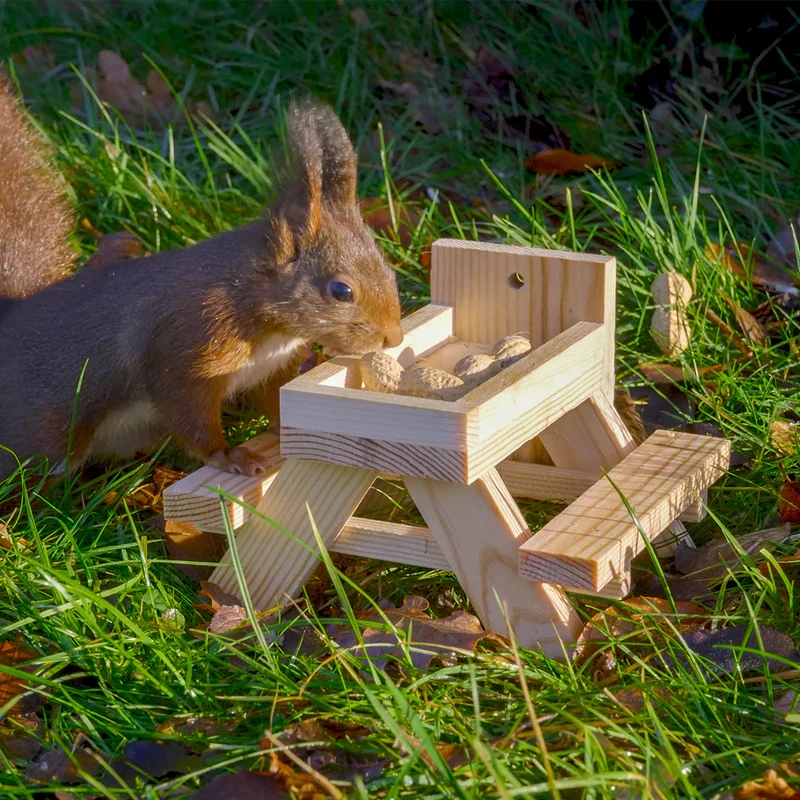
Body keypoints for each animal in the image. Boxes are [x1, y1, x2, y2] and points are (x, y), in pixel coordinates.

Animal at [0, 80, 404, 479]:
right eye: (341, 290)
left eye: (387, 268)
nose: (393, 337)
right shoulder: (185, 349)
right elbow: (187, 413)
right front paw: (228, 456)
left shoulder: (271, 368)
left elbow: (274, 400)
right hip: (46, 438)